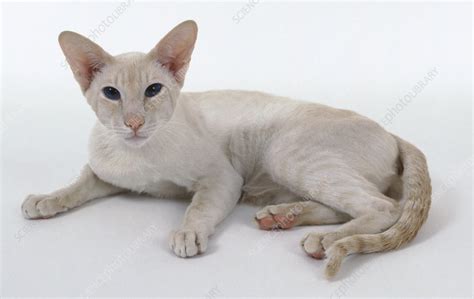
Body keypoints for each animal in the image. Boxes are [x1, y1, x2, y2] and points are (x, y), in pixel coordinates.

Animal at [22, 20, 432, 278]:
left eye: (153, 90)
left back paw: (324, 240)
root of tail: (393, 133)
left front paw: (187, 233)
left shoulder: (222, 178)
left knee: (383, 206)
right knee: (347, 205)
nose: (134, 122)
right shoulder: (104, 173)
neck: (139, 155)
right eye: (111, 93)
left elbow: (199, 207)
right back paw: (281, 217)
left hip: (285, 153)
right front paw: (44, 199)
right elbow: (77, 185)